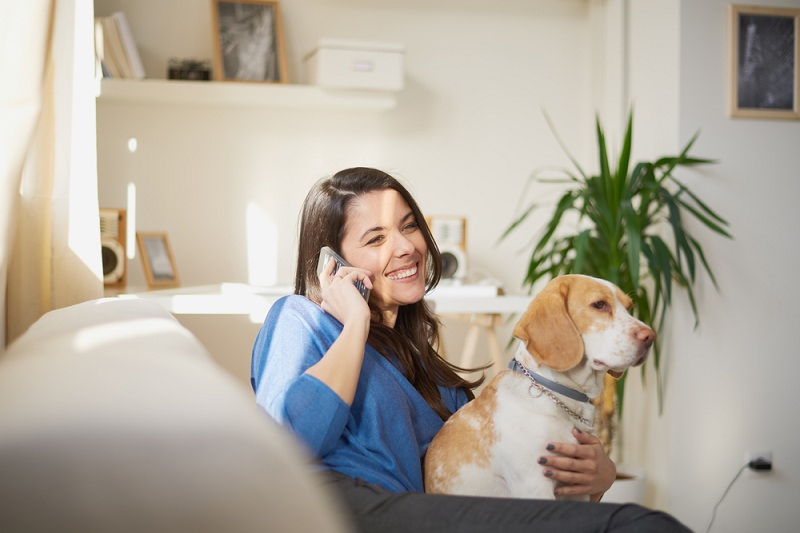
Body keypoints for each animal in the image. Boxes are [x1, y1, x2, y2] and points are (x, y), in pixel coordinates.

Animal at [424, 274, 656, 498]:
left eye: (629, 307)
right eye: (599, 304)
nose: (651, 337)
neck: (557, 396)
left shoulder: (577, 487)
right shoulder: (535, 485)